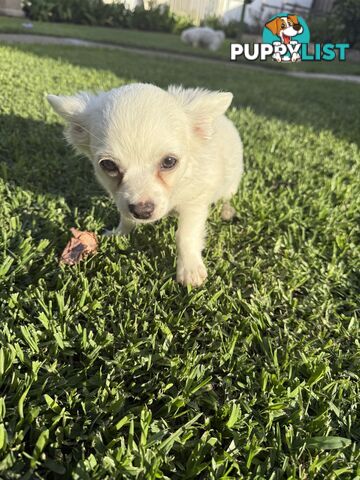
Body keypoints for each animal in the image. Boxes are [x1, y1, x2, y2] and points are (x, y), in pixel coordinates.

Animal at [47, 83, 243, 286]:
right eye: (108, 165)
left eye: (169, 161)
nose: (142, 211)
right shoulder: (123, 200)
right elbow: (125, 217)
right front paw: (119, 233)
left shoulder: (194, 201)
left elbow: (185, 236)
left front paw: (190, 270)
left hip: (231, 183)